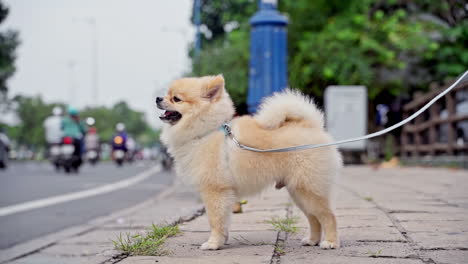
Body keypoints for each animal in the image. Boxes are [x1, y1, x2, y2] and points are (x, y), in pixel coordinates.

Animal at [155, 75, 342, 251]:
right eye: (167, 94)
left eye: (176, 99)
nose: (157, 98)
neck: (204, 131)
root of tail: (312, 126)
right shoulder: (224, 194)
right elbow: (224, 221)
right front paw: (222, 240)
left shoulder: (214, 191)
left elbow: (215, 221)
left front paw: (213, 243)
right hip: (298, 192)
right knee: (314, 218)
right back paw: (312, 240)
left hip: (308, 189)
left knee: (328, 216)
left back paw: (330, 242)